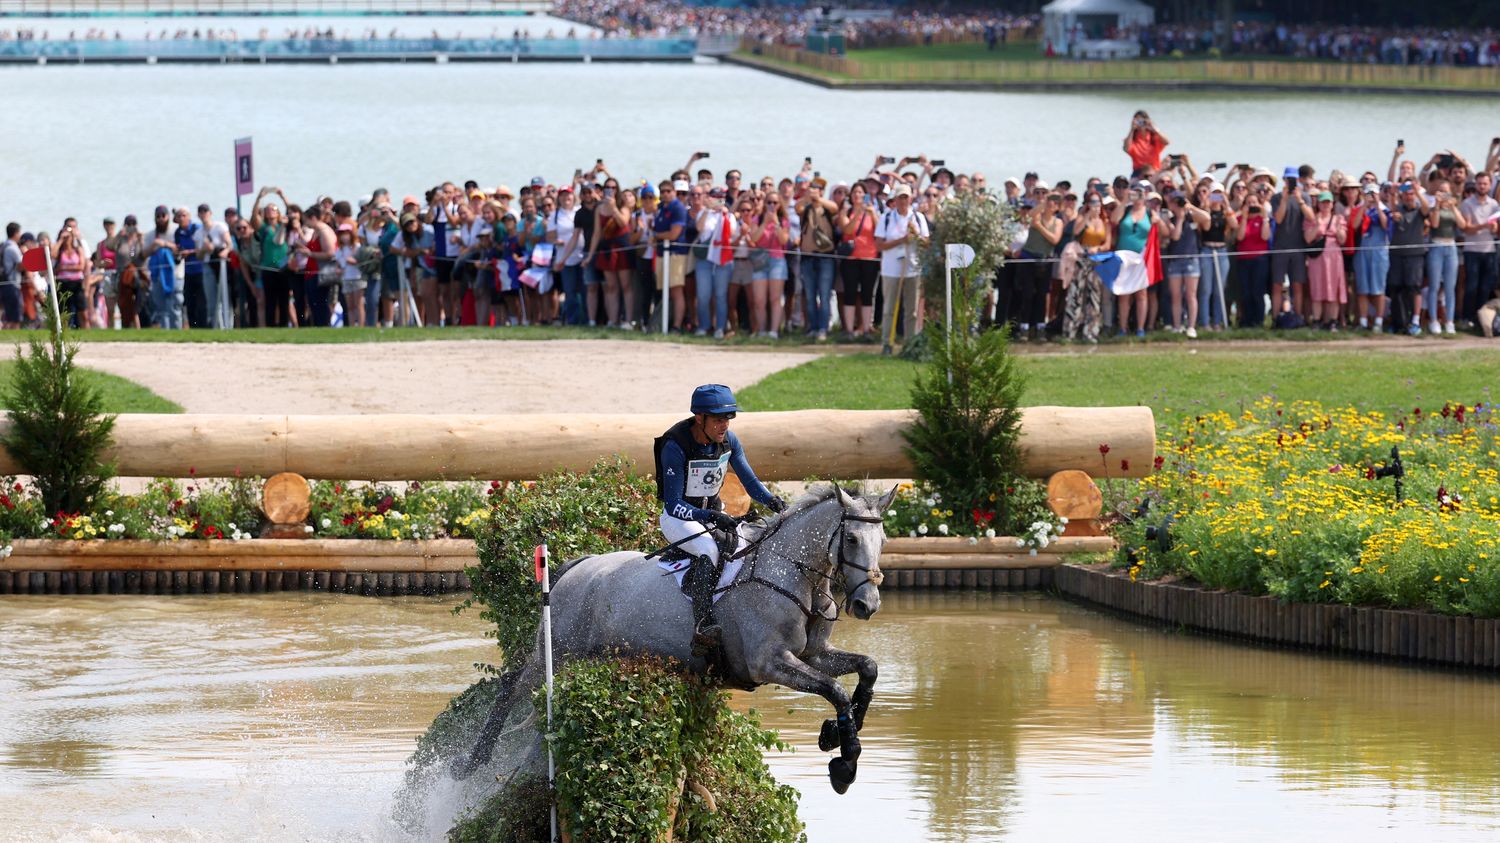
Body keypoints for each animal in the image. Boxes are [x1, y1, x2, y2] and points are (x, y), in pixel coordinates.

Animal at [450, 483, 894, 792]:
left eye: (883, 541)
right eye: (851, 539)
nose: (867, 605)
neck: (793, 574)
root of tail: (577, 567)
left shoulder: (815, 654)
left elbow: (866, 670)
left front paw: (836, 735)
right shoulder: (769, 663)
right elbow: (835, 689)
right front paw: (844, 764)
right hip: (556, 650)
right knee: (511, 687)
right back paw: (468, 764)